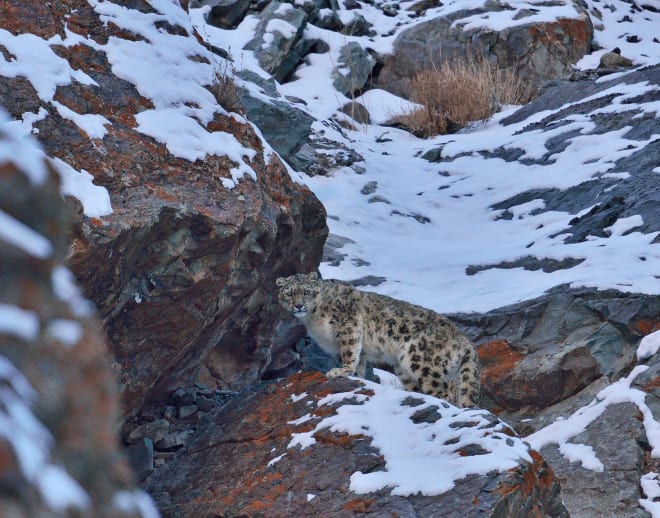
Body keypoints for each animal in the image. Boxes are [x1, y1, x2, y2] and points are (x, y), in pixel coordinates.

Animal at [276, 272, 480, 407]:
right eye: (289, 293)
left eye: (306, 292)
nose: (298, 305)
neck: (313, 320)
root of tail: (464, 340)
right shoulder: (362, 349)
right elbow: (359, 361)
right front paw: (357, 376)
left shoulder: (348, 325)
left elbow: (349, 352)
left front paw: (340, 371)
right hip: (404, 368)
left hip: (419, 359)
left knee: (444, 393)